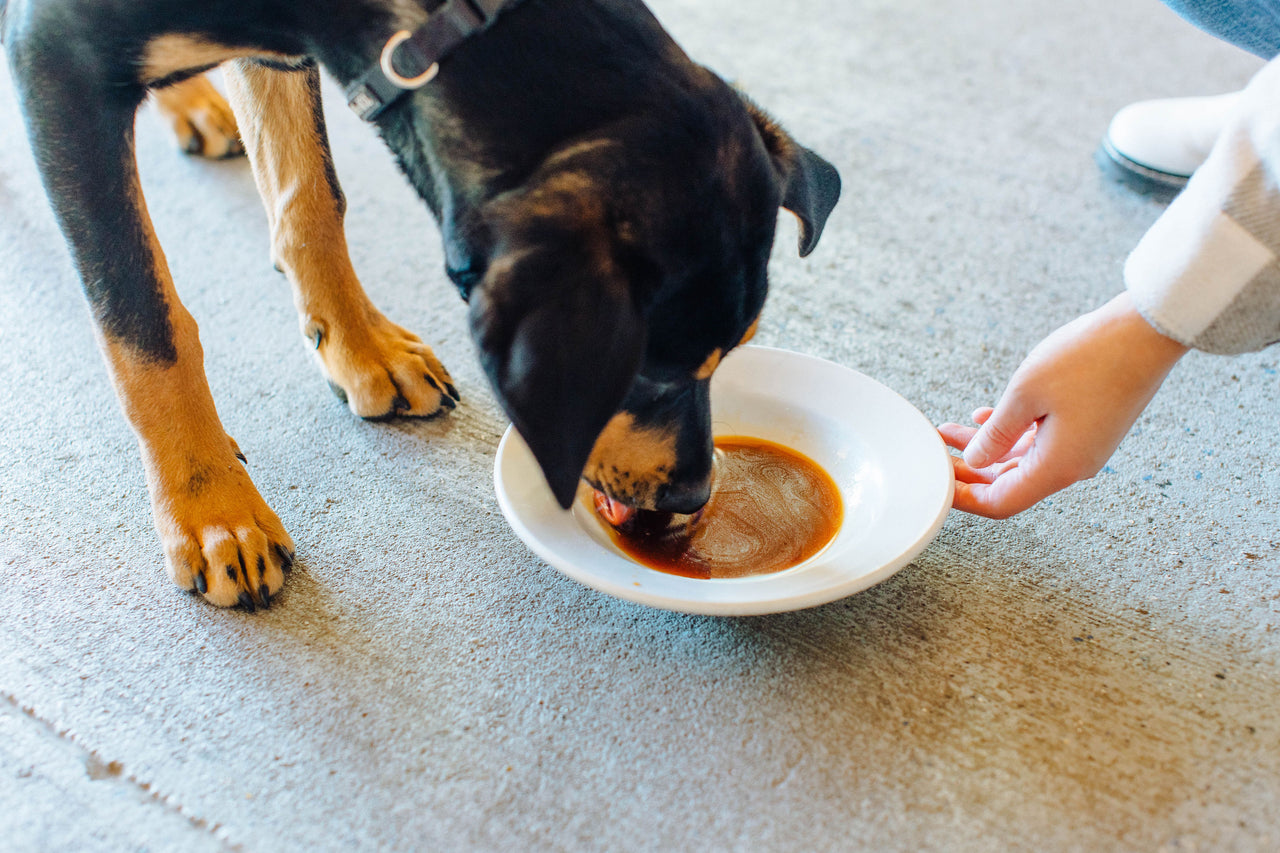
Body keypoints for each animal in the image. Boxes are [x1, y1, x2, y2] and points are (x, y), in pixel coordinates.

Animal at [0, 0, 839, 604]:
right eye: (648, 373)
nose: (696, 491)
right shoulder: (55, 62)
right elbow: (143, 319)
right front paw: (211, 507)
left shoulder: (289, 46)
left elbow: (312, 192)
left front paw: (359, 347)